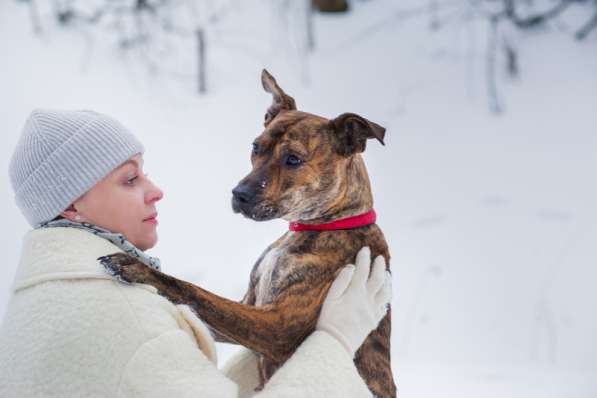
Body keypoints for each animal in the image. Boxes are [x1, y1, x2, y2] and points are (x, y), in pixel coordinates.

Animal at [100, 70, 396, 396]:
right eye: (255, 147)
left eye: (293, 159)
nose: (239, 194)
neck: (324, 225)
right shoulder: (249, 304)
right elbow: (204, 304)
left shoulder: (277, 326)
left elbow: (195, 291)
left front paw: (138, 268)